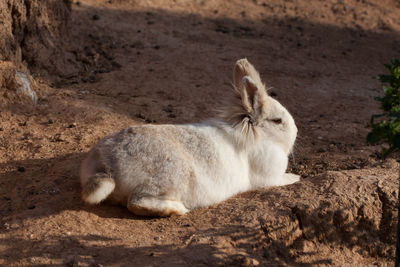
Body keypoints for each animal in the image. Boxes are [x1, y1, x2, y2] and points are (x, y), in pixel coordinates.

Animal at [79, 59, 298, 218]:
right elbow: (281, 179)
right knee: (136, 202)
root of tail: (107, 166)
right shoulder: (270, 176)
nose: (296, 132)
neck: (257, 135)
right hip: (170, 177)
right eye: (277, 121)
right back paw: (178, 209)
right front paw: (296, 177)